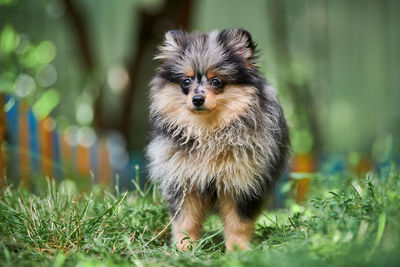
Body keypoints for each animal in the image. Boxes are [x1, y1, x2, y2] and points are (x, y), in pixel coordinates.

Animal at [145, 28, 290, 251]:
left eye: (216, 81)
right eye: (186, 82)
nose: (197, 99)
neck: (207, 132)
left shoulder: (241, 184)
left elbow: (238, 223)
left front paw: (238, 251)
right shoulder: (184, 183)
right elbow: (185, 222)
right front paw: (184, 249)